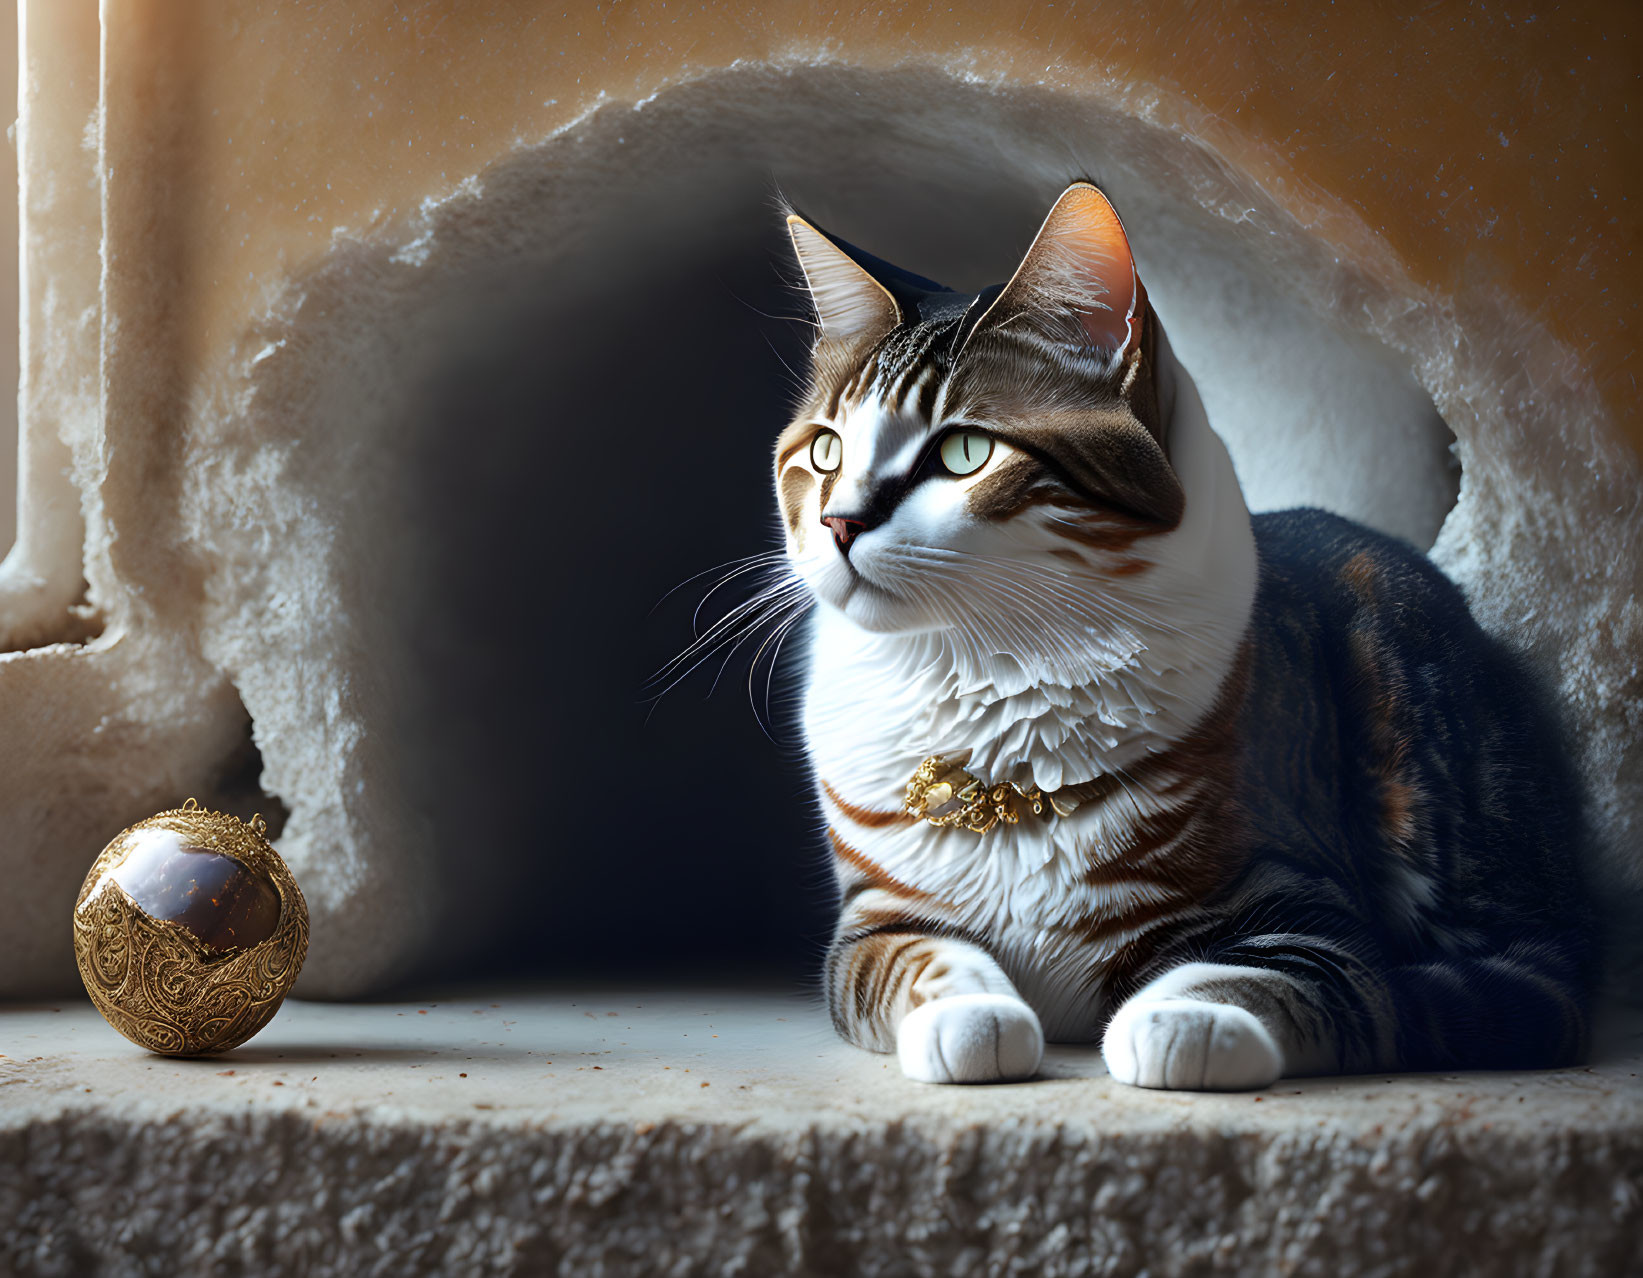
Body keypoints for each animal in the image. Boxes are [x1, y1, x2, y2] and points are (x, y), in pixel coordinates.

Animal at [775, 183, 1596, 1090]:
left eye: (963, 452)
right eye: (825, 451)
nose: (840, 522)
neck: (985, 677)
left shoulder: (1300, 904)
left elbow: (1267, 977)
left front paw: (1178, 1023)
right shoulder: (874, 922)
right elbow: (923, 964)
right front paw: (974, 1018)